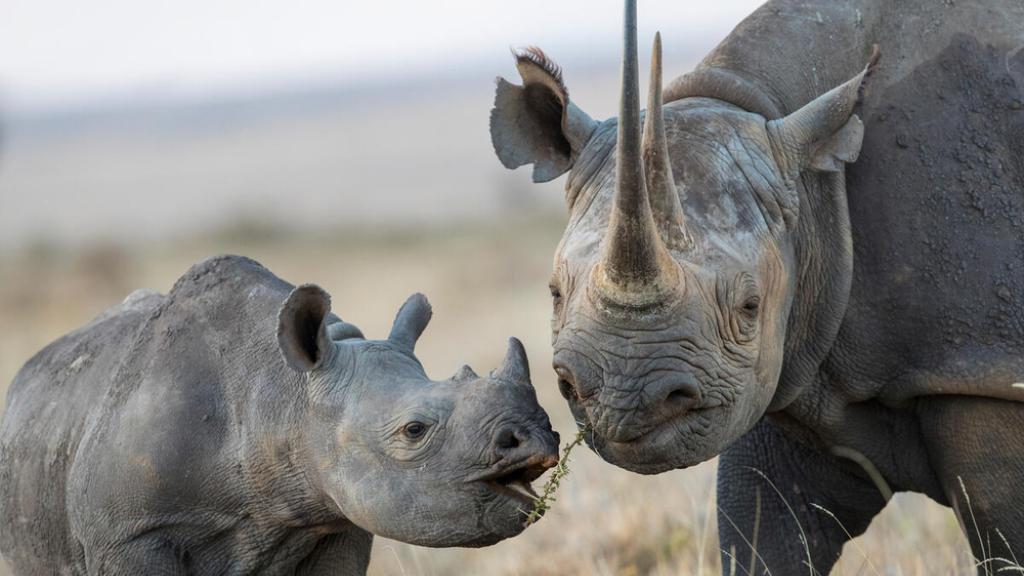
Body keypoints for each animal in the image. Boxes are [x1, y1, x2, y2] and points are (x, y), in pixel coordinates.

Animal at [490, 0, 1024, 572]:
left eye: (749, 305)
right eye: (554, 293)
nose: (624, 400)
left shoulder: (979, 367)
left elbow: (1005, 536)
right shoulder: (785, 369)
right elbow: (761, 534)